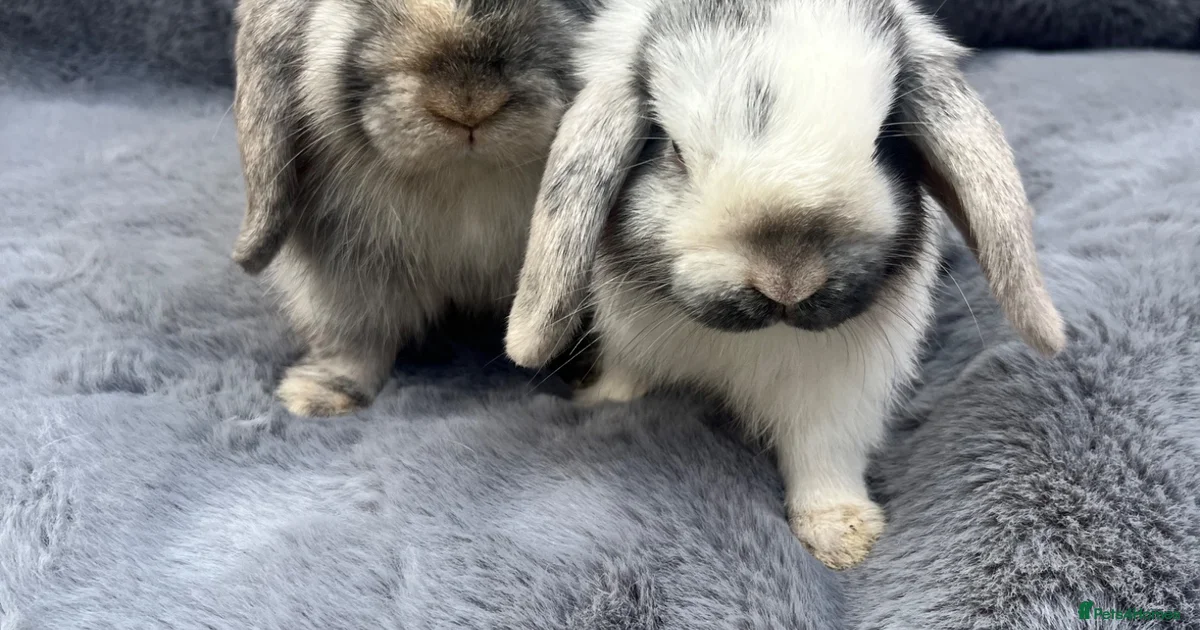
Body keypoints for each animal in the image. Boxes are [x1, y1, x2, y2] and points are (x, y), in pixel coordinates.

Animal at [503, 0, 1066, 569]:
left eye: (884, 141)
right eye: (673, 149)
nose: (788, 282)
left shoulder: (838, 396)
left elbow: (823, 455)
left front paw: (842, 537)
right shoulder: (630, 344)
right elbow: (626, 380)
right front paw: (601, 401)